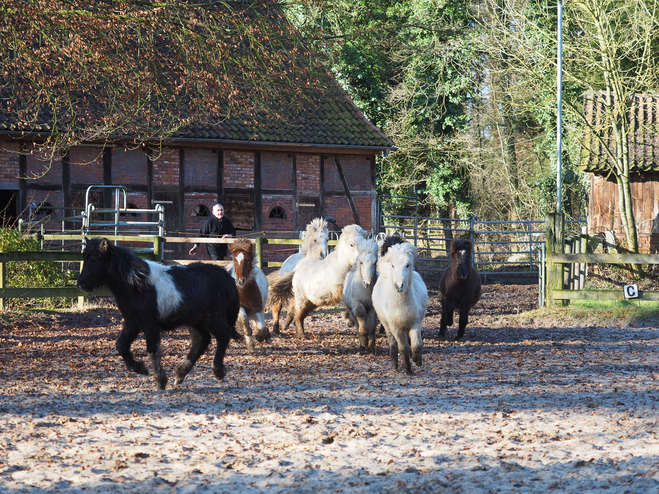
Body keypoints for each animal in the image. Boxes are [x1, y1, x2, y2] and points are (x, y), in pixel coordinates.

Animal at [78, 238, 242, 390]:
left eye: (95, 259)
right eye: (85, 257)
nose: (81, 284)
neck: (137, 284)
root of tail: (228, 279)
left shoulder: (149, 324)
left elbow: (152, 350)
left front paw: (160, 380)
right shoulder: (132, 322)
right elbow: (121, 345)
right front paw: (140, 368)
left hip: (213, 318)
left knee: (223, 336)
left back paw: (218, 372)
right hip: (196, 322)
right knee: (201, 341)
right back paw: (180, 374)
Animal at [374, 235, 430, 374]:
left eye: (407, 265)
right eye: (393, 265)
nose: (399, 286)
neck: (401, 303)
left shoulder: (415, 323)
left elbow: (416, 345)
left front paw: (416, 360)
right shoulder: (396, 328)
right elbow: (403, 347)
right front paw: (408, 369)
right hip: (387, 326)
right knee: (392, 343)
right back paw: (395, 364)